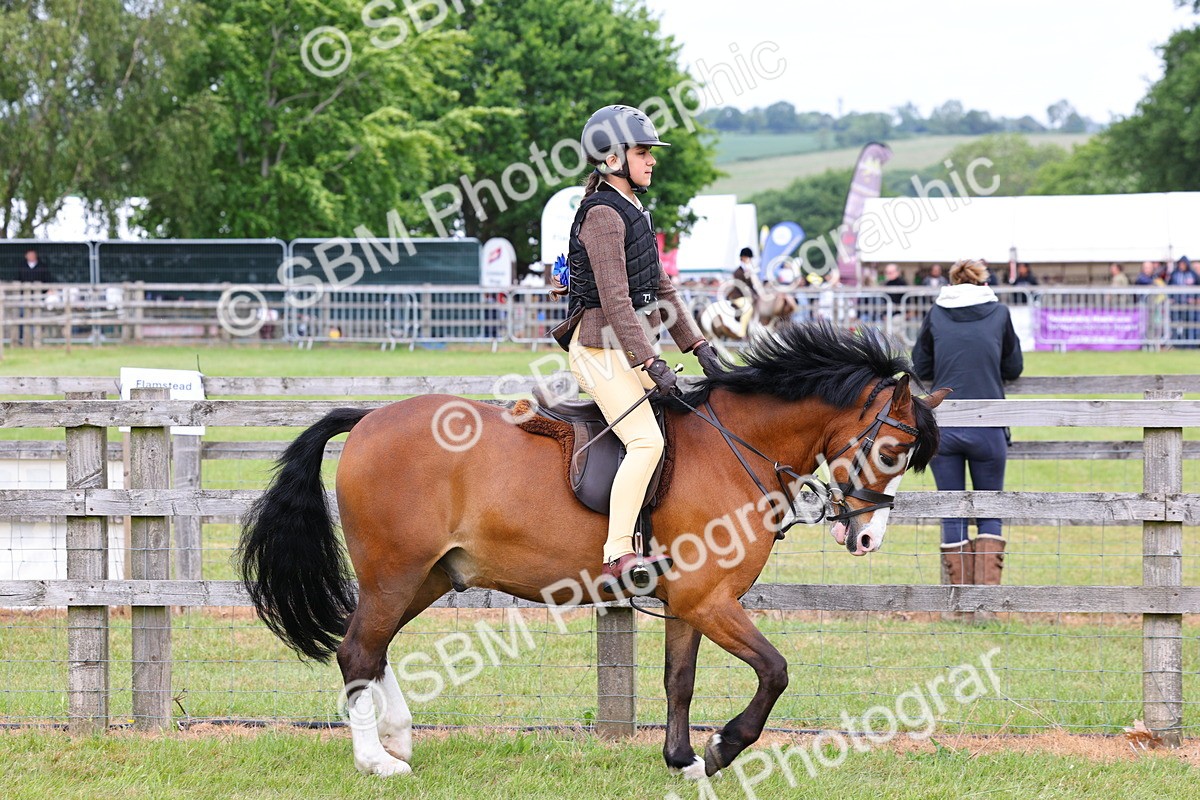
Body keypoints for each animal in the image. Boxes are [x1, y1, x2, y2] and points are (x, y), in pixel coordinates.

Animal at [238, 320, 947, 779]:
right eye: (893, 450)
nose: (866, 537)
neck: (734, 445)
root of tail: (368, 418)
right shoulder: (709, 600)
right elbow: (775, 672)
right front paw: (723, 749)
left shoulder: (691, 603)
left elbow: (679, 680)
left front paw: (683, 761)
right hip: (396, 572)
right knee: (358, 648)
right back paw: (376, 762)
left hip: (430, 577)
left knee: (372, 645)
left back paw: (399, 737)